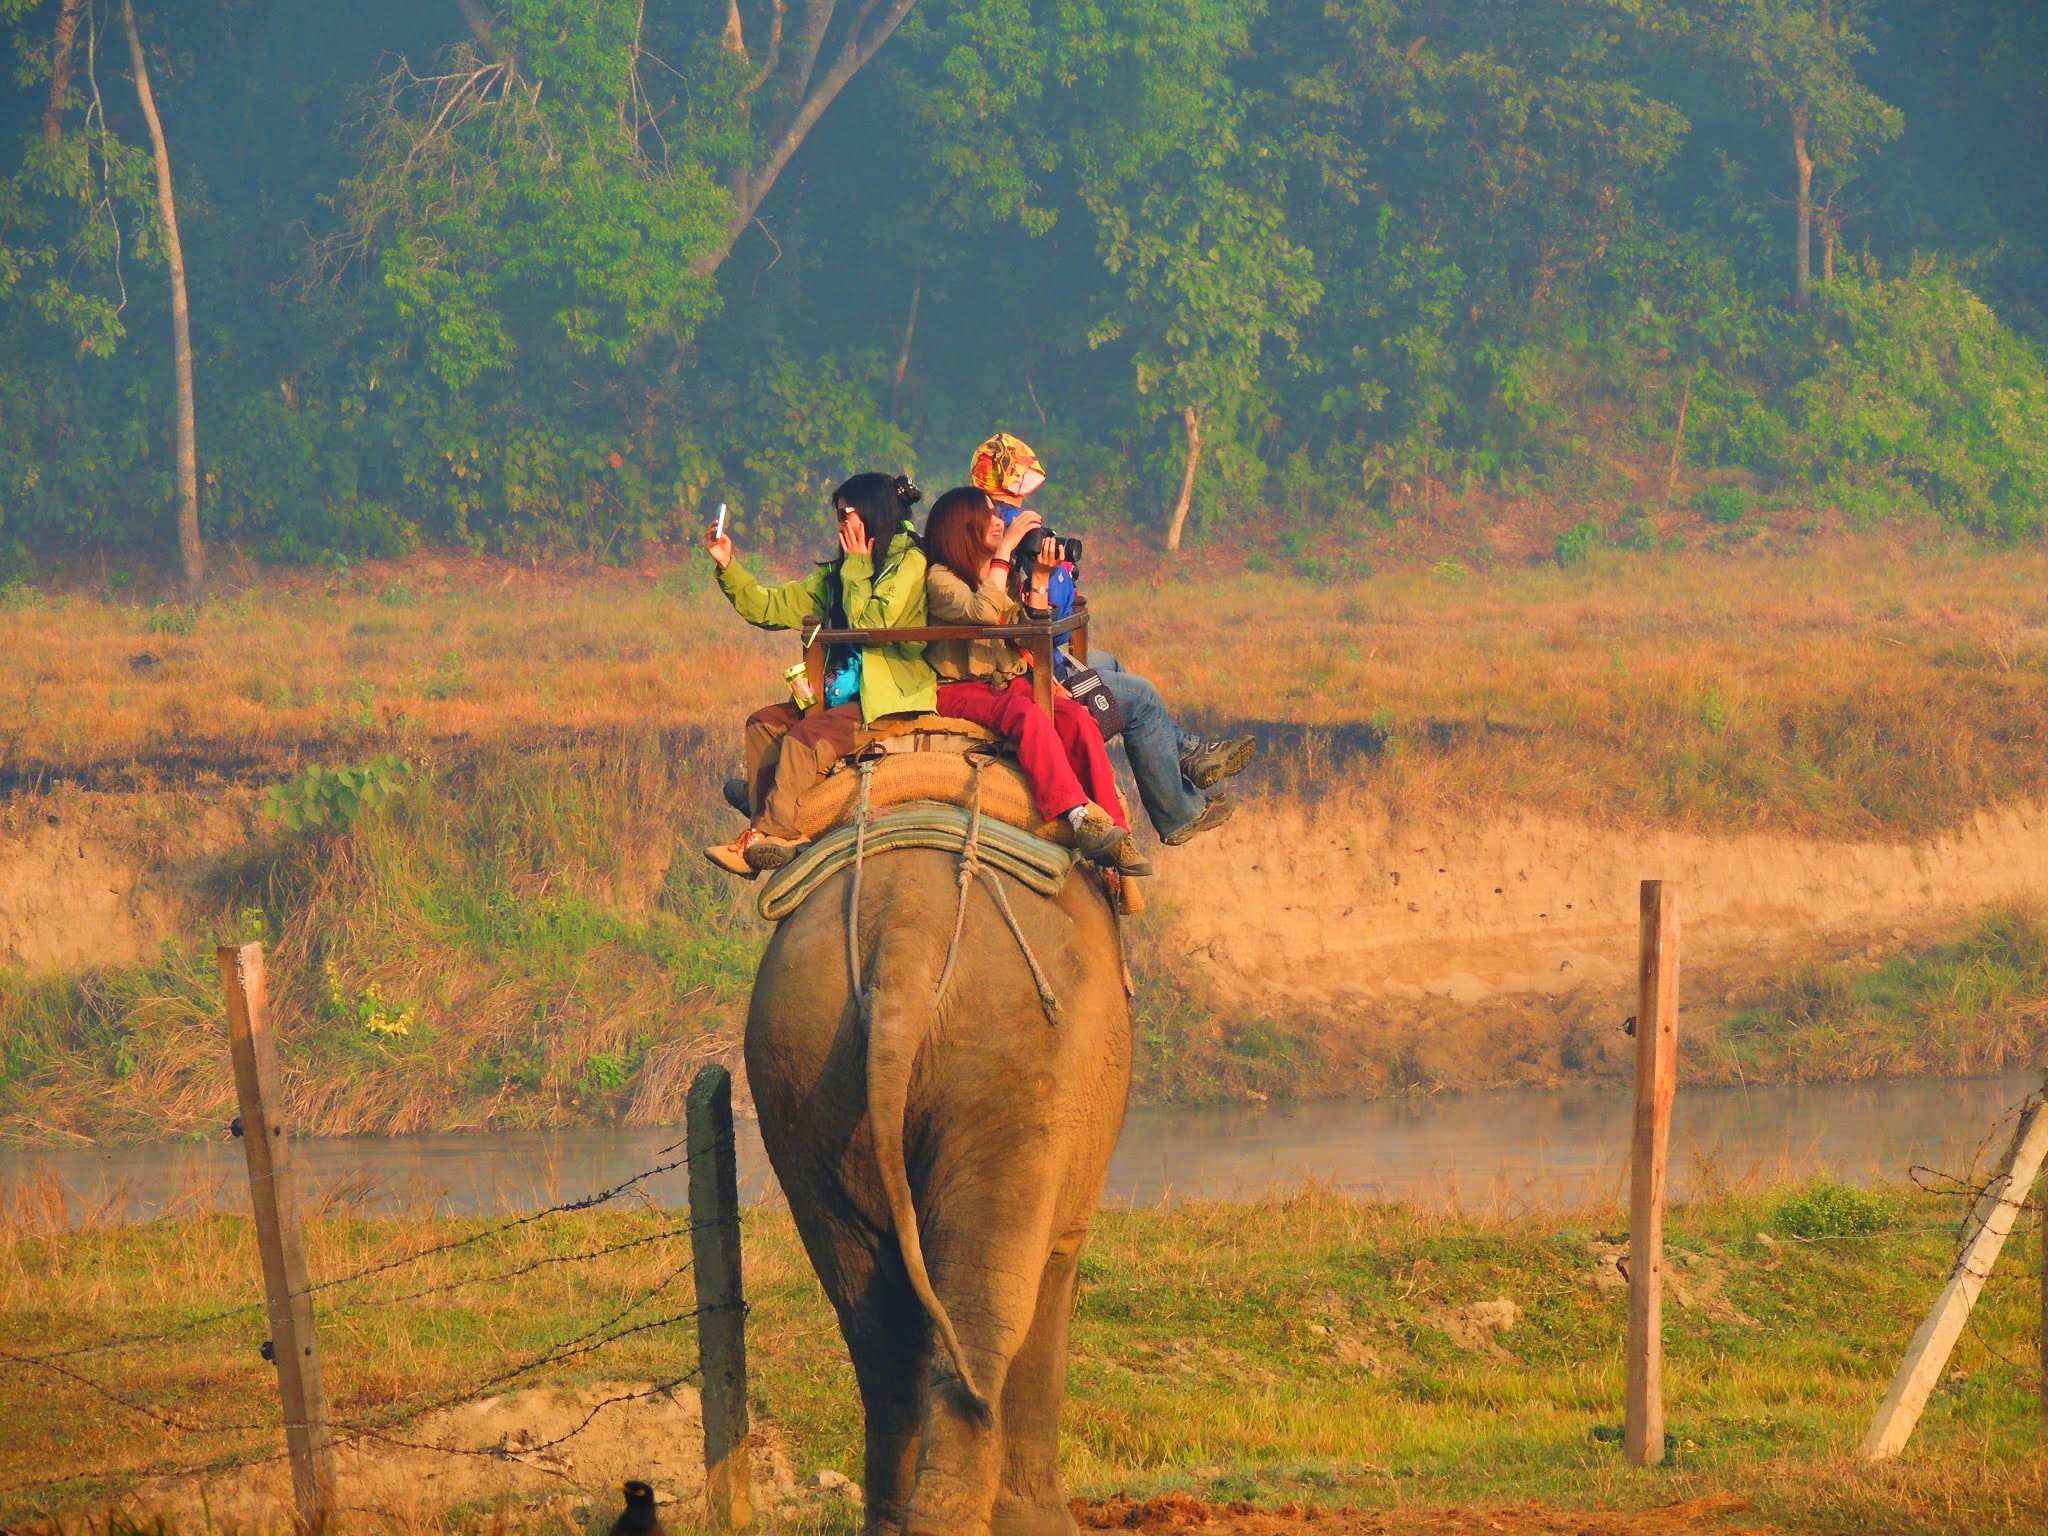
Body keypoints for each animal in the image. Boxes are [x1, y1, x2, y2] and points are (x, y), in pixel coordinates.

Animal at [749, 847, 1138, 1531]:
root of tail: (906, 935)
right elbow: (1054, 1272)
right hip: (1011, 1068)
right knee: (985, 1298)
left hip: (800, 1068)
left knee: (871, 1315)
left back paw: (897, 1522)